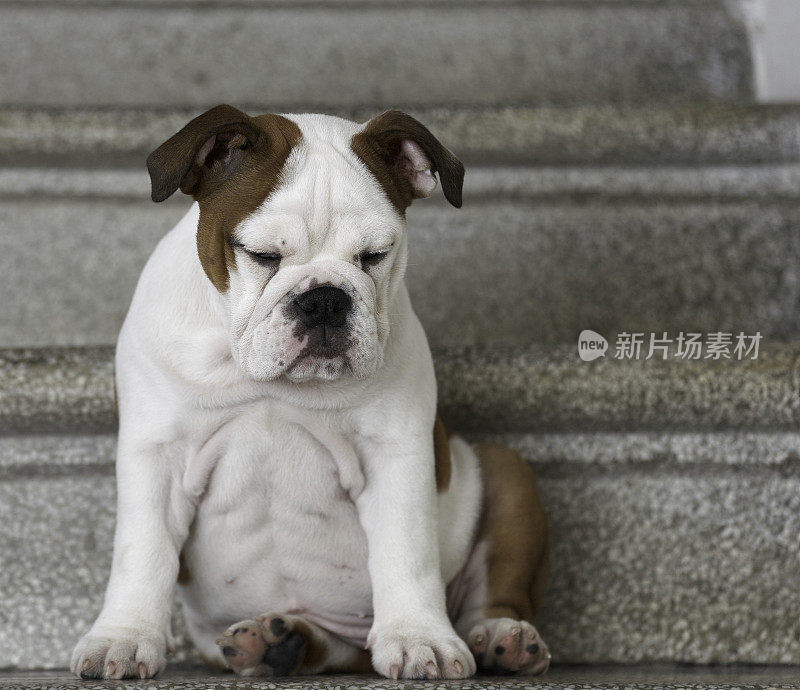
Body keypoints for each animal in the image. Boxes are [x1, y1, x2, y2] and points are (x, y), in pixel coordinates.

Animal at [70, 106, 552, 676]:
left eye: (374, 256)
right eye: (260, 255)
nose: (324, 299)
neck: (267, 385)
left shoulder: (396, 451)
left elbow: (406, 549)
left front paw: (420, 637)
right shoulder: (156, 454)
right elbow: (141, 552)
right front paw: (122, 638)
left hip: (508, 471)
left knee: (497, 594)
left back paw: (503, 639)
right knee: (332, 649)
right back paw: (280, 642)